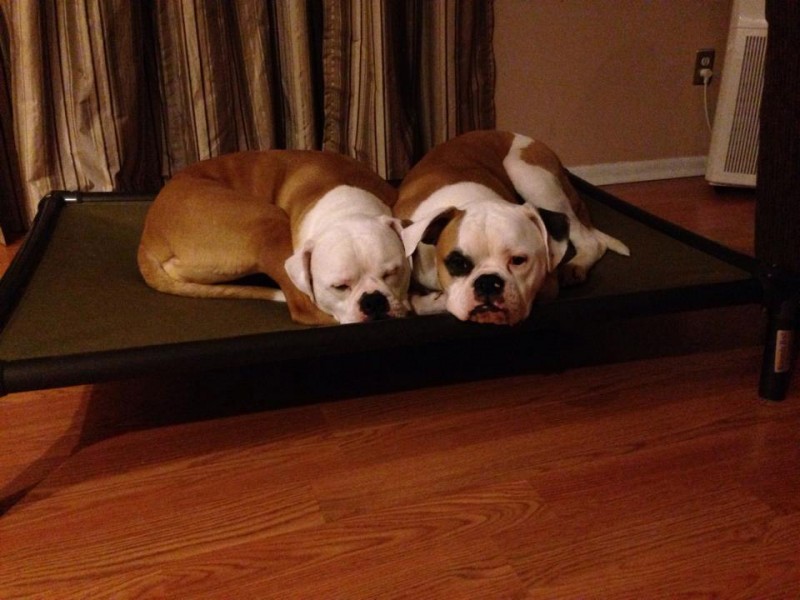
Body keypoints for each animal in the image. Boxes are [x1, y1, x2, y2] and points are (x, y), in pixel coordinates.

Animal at [138, 152, 410, 326]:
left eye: (392, 273)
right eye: (339, 287)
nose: (373, 301)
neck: (346, 208)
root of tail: (148, 239)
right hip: (270, 224)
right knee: (303, 308)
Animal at [396, 129, 628, 326]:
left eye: (518, 260)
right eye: (458, 263)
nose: (488, 282)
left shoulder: (548, 285)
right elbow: (413, 302)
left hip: (530, 179)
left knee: (590, 240)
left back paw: (575, 266)